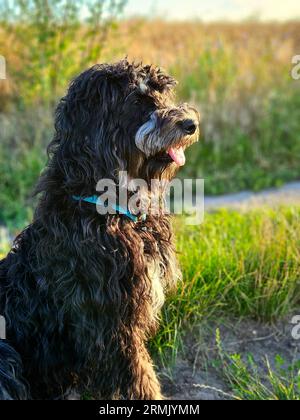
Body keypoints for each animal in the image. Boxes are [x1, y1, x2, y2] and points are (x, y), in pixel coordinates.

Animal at [0, 60, 202, 400]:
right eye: (137, 100)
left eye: (162, 94)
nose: (190, 123)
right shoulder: (111, 322)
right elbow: (139, 376)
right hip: (7, 355)